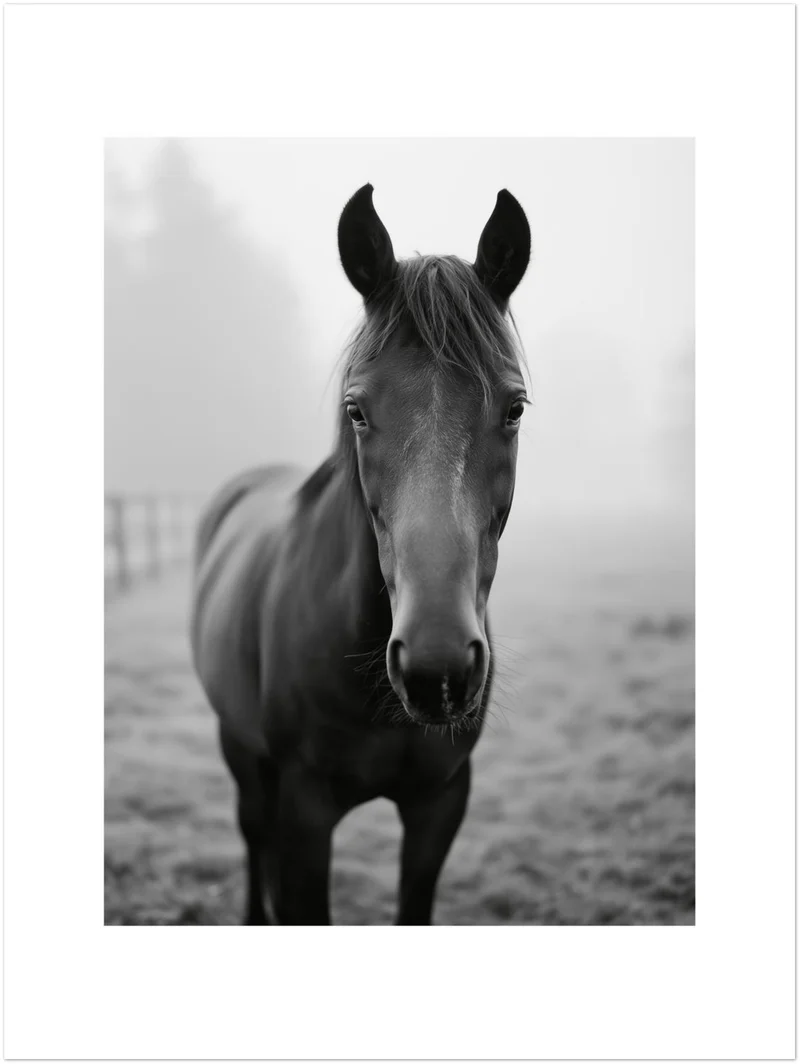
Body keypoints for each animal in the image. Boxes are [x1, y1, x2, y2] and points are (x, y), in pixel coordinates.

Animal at [190, 184, 531, 925]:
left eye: (515, 408)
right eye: (356, 410)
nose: (437, 669)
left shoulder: (439, 806)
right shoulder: (305, 813)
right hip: (239, 748)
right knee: (251, 832)